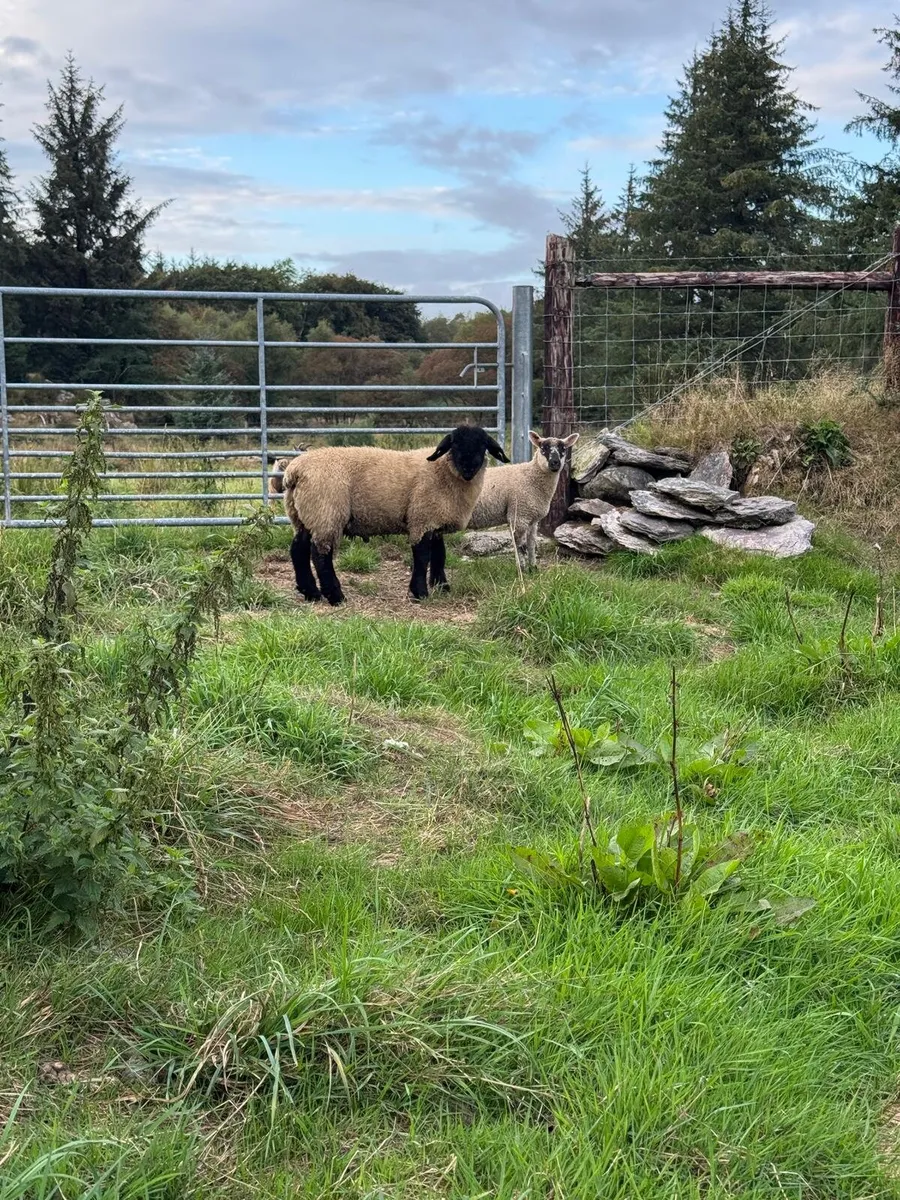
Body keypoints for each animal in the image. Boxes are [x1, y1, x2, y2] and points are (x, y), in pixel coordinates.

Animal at [279, 424, 508, 605]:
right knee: (320, 555)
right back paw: (335, 596)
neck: (443, 470)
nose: (468, 468)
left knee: (298, 550)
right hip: (326, 512)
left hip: (303, 515)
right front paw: (420, 593)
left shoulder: (434, 521)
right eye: (454, 444)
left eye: (483, 445)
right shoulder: (421, 518)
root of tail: (295, 471)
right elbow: (422, 556)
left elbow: (440, 554)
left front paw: (442, 586)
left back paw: (310, 593)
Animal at [468, 430, 580, 569]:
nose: (555, 463)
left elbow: (531, 545)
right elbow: (520, 547)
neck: (530, 476)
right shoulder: (519, 516)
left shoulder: (533, 520)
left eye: (563, 448)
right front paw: (522, 569)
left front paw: (534, 567)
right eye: (543, 448)